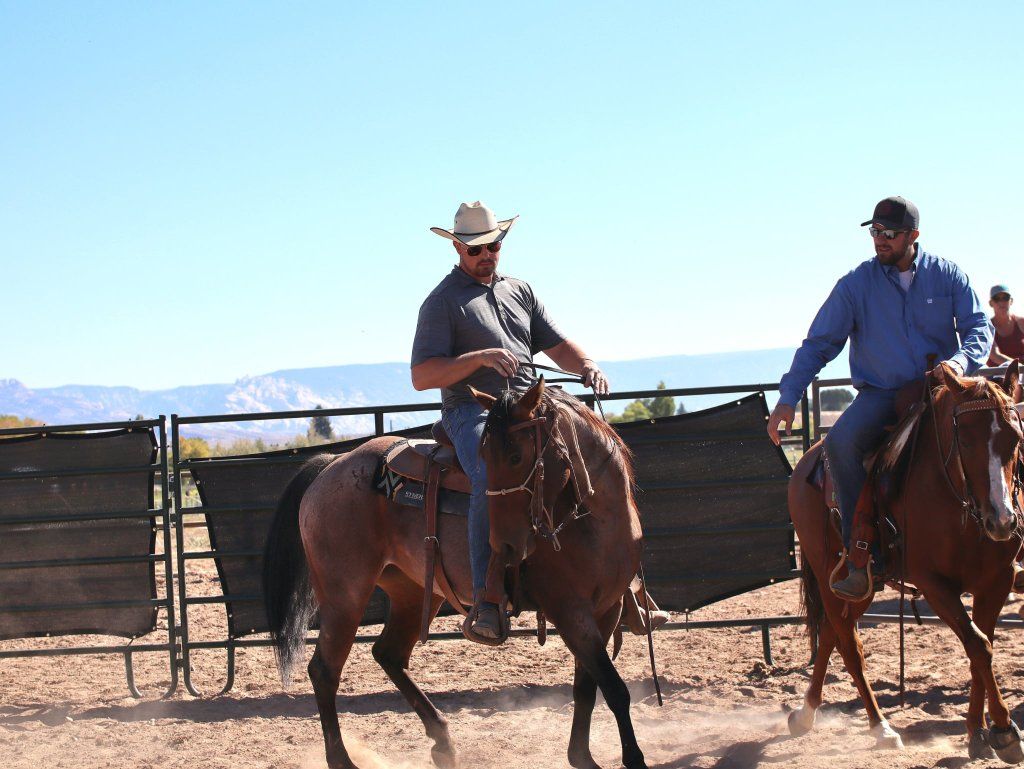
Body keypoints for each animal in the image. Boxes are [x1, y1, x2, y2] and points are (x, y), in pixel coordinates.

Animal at [262, 377, 649, 769]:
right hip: (344, 595)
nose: (506, 546)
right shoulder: (569, 610)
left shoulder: (607, 609)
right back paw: (344, 760)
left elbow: (587, 686)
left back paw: (442, 741)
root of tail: (332, 465)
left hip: (414, 591)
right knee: (325, 670)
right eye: (487, 458)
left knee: (388, 654)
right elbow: (614, 688)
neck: (594, 519)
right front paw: (632, 758)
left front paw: (582, 756)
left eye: (515, 456)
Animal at [787, 361, 1024, 762]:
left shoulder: (997, 580)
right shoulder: (935, 585)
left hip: (863, 585)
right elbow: (979, 646)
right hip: (827, 572)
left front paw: (978, 732)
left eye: (1015, 438)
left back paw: (805, 713)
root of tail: (807, 460)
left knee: (834, 634)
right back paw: (880, 727)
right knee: (849, 646)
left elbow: (982, 646)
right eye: (966, 440)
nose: (1003, 520)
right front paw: (1005, 731)